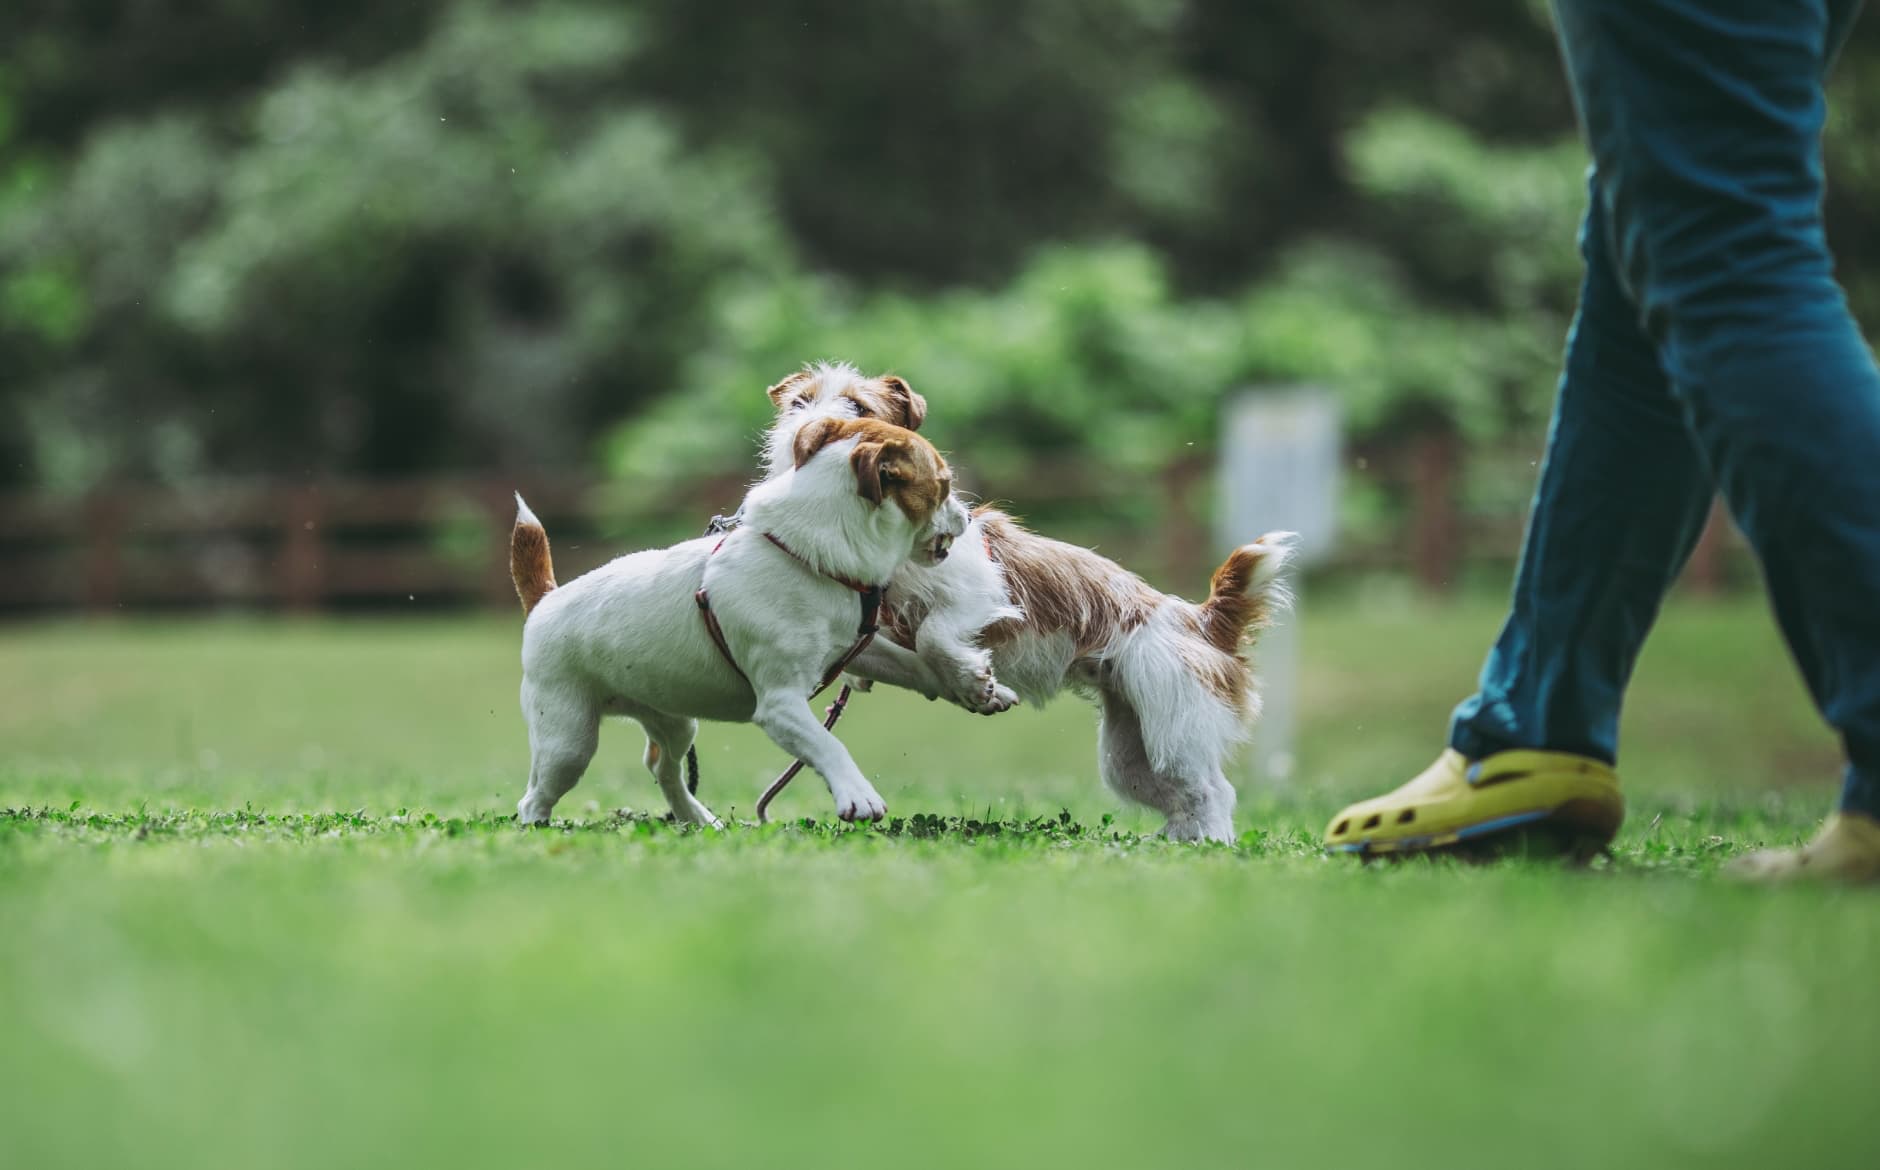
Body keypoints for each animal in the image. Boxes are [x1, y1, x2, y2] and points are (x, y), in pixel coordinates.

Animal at [511, 417, 970, 831]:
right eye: (945, 485)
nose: (967, 516)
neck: (805, 556)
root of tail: (546, 599)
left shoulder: (852, 646)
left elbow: (909, 663)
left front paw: (969, 685)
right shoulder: (780, 703)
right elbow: (828, 743)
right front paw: (857, 795)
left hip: (675, 721)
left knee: (664, 769)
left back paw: (697, 819)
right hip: (568, 738)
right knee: (535, 795)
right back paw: (538, 827)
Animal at [748, 364, 1293, 842]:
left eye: (858, 406)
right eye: (799, 403)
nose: (804, 429)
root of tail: (1201, 621)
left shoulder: (981, 589)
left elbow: (934, 635)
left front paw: (973, 679)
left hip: (1175, 724)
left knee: (1212, 791)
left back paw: (1211, 845)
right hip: (1130, 753)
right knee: (1179, 795)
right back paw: (1178, 841)